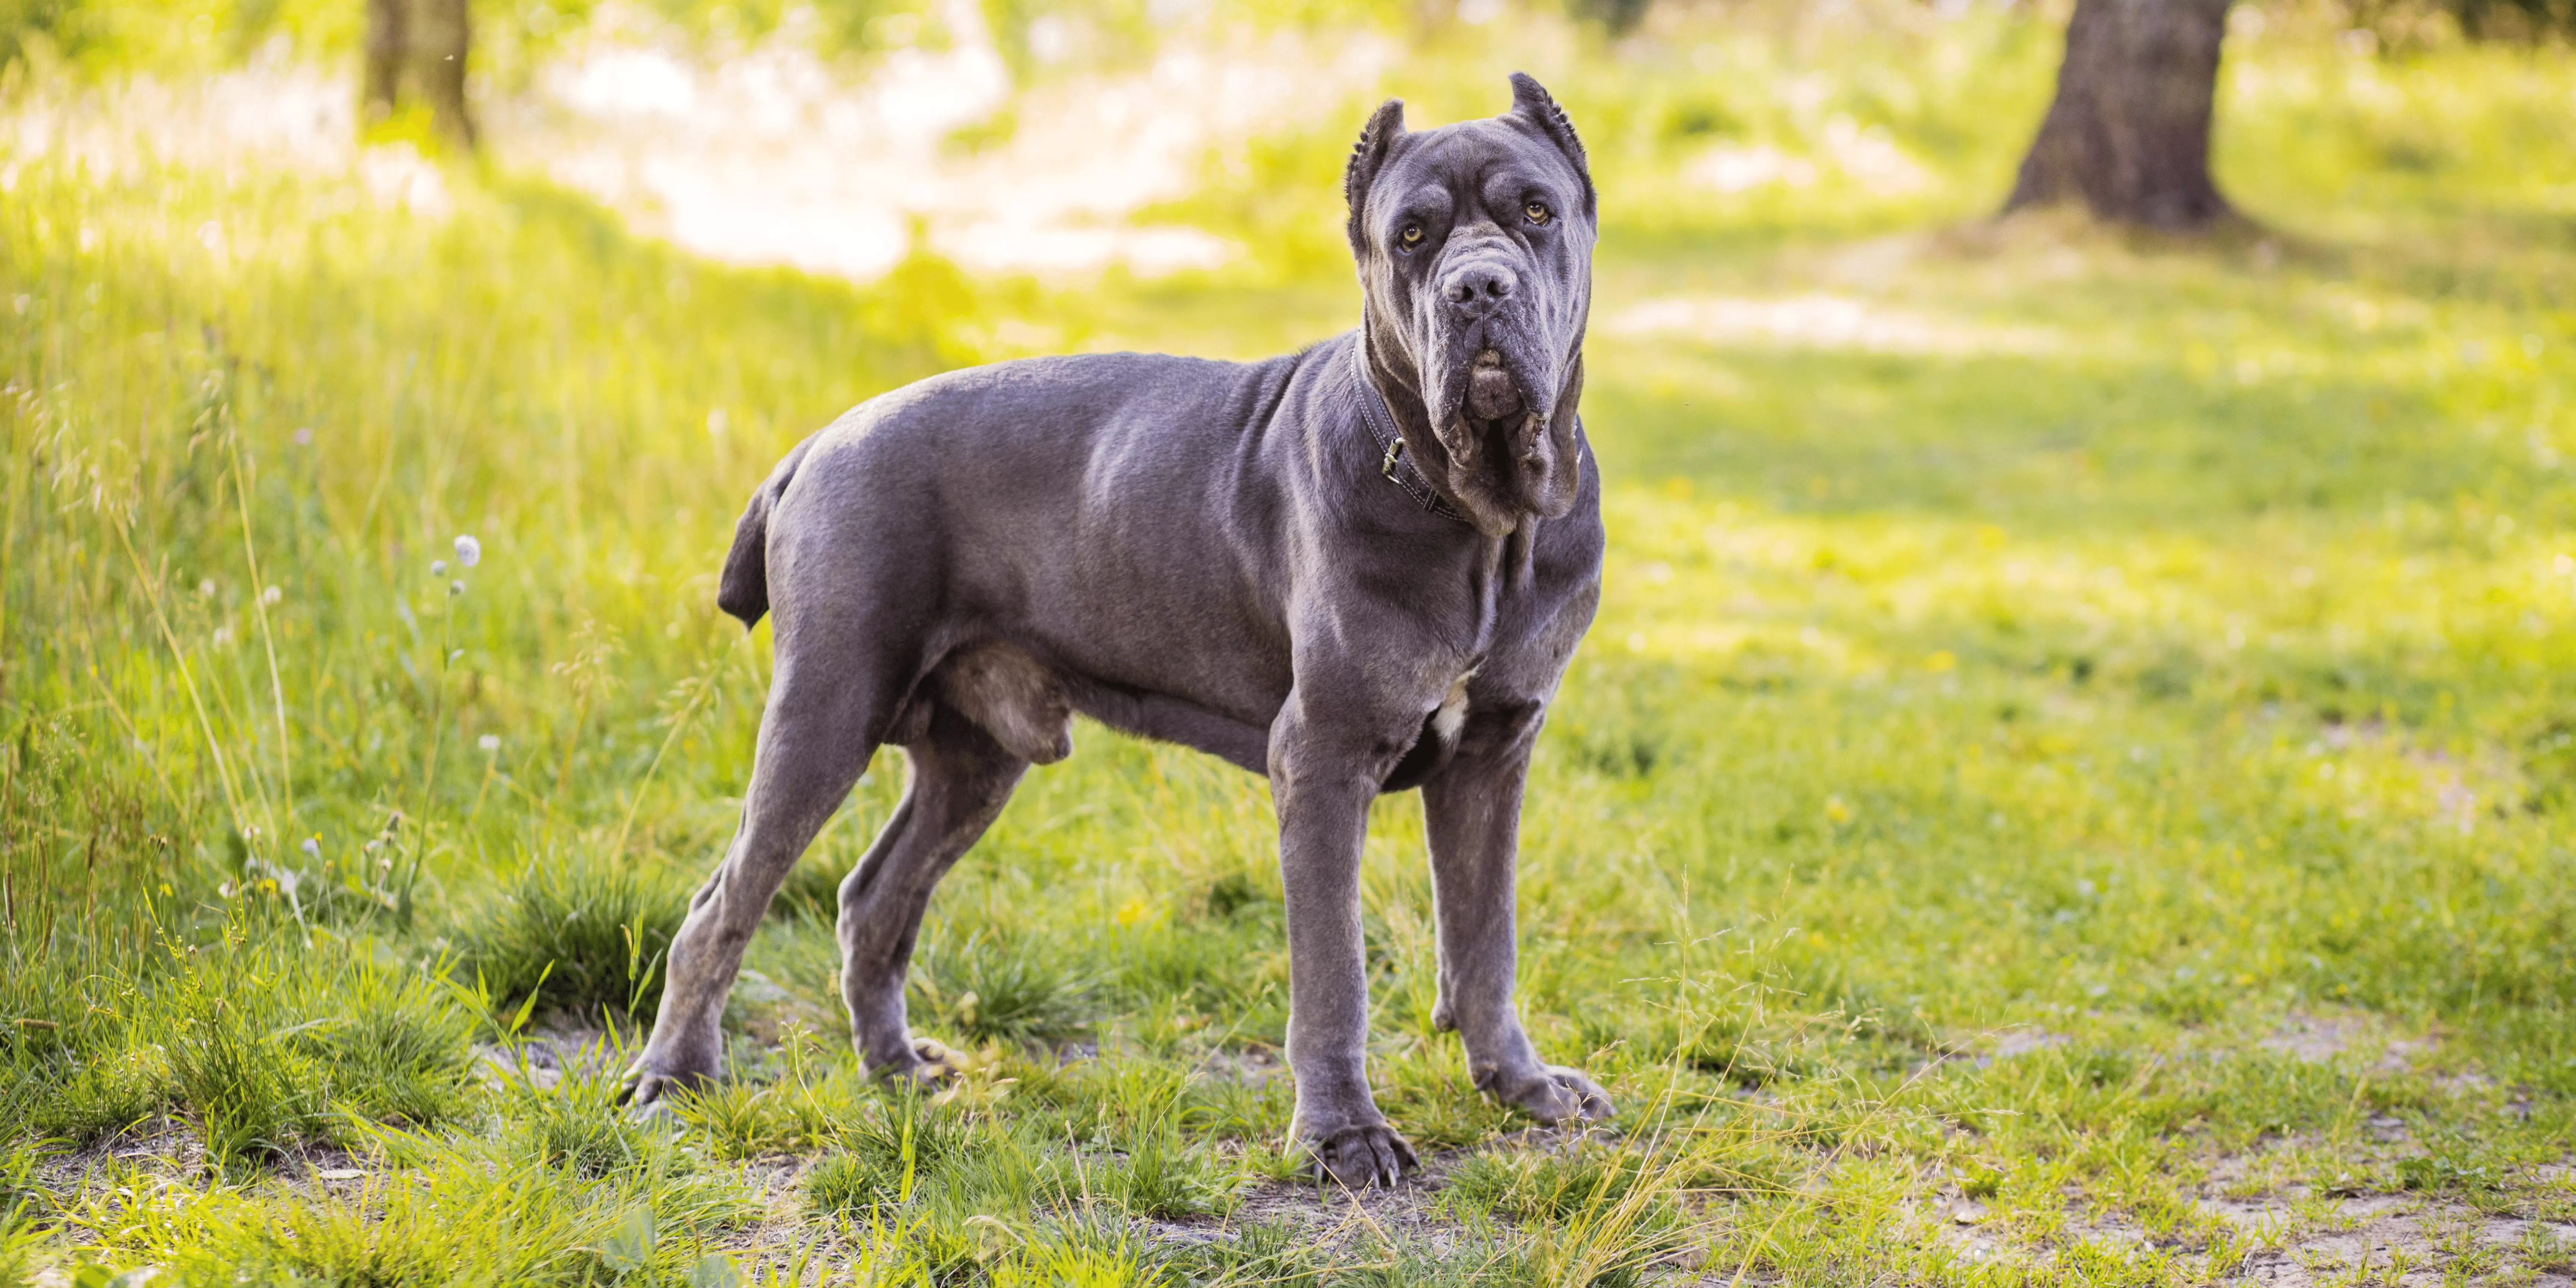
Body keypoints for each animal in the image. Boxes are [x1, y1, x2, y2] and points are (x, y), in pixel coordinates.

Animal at [623, 73, 1607, 1185]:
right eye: (1411, 235)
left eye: (1537, 212)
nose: (1477, 289)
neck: (1483, 515)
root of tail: (816, 442)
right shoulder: (1322, 756)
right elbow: (1334, 969)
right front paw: (1343, 1135)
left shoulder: (1494, 751)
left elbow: (1486, 939)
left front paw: (1522, 1086)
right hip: (827, 710)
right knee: (721, 904)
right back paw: (674, 1076)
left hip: (975, 757)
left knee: (875, 898)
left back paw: (898, 1069)